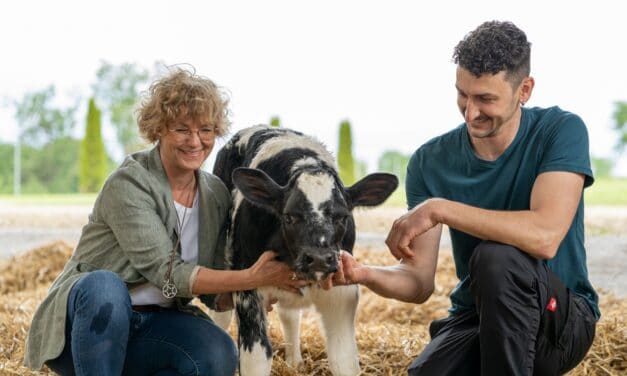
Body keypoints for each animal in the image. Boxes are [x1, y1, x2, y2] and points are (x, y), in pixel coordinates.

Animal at [211, 125, 398, 374]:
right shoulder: (247, 288)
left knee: (290, 314)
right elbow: (256, 359)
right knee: (219, 317)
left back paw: (294, 361)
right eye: (289, 216)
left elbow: (344, 359)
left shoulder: (342, 293)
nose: (319, 259)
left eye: (343, 217)